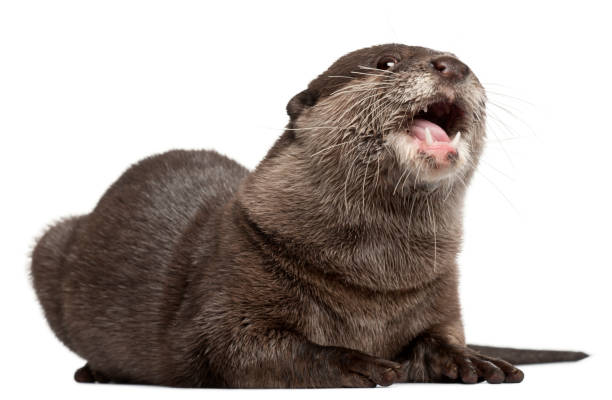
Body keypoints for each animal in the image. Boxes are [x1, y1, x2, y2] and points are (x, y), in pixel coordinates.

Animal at [29, 43, 588, 388]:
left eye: (460, 59)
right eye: (387, 62)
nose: (452, 64)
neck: (373, 284)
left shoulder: (440, 290)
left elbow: (441, 337)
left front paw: (474, 359)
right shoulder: (229, 280)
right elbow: (240, 349)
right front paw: (359, 361)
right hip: (50, 247)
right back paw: (97, 371)